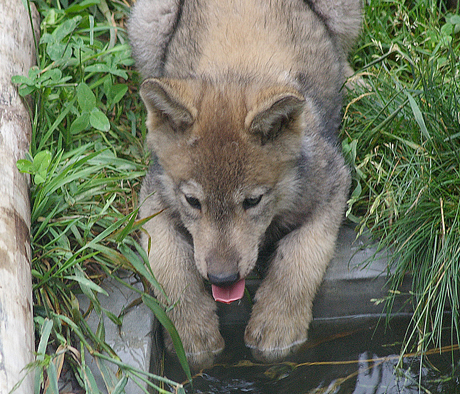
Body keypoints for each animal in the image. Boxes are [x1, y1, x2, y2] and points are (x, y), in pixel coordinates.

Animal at [128, 0, 360, 370]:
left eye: (253, 201)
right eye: (193, 201)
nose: (222, 279)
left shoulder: (332, 186)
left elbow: (299, 259)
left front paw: (278, 328)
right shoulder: (153, 199)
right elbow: (171, 269)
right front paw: (193, 337)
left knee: (342, 51)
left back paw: (352, 81)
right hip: (148, 24)